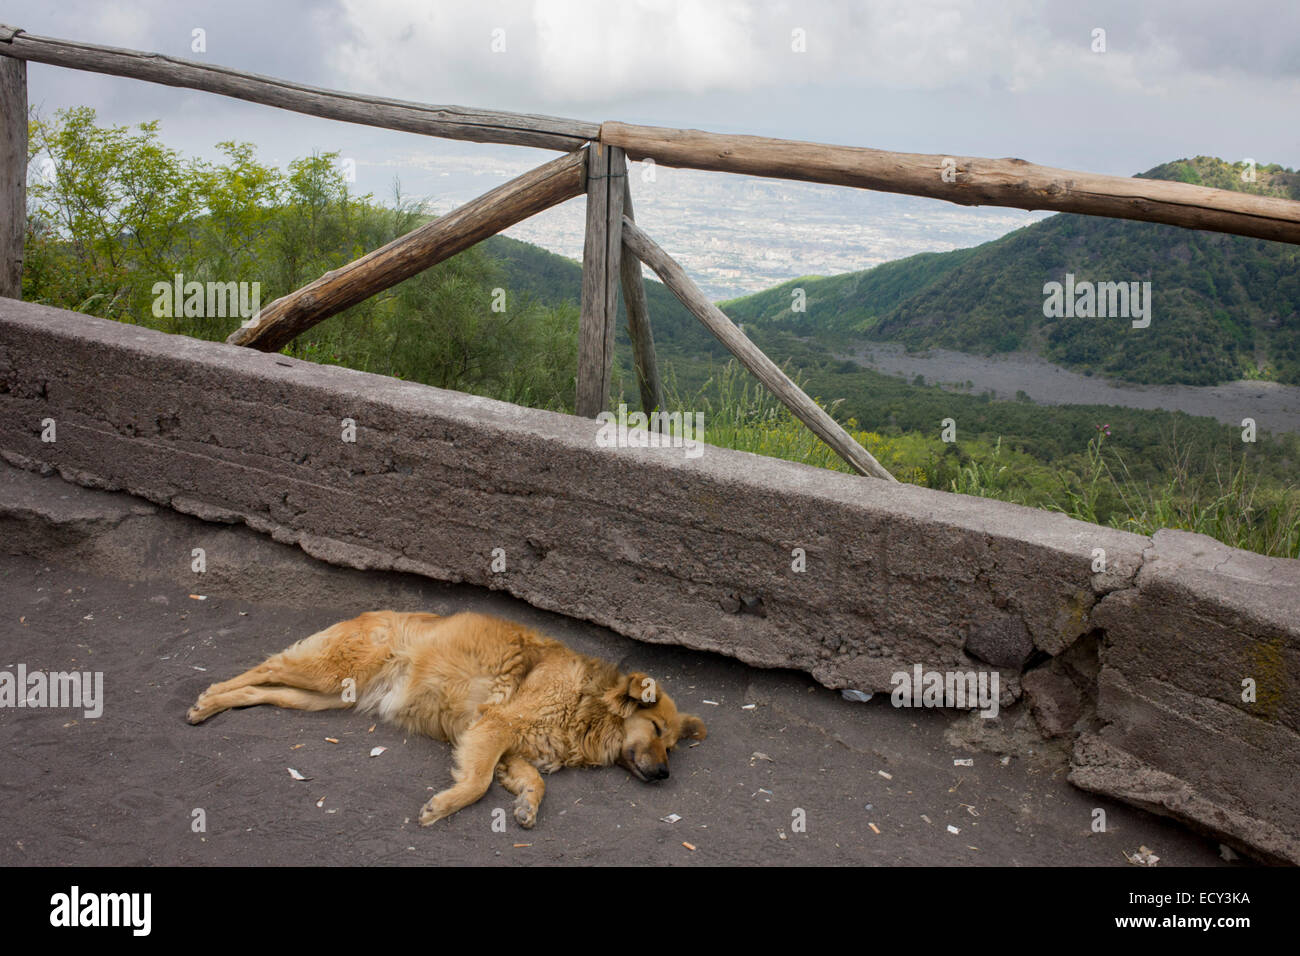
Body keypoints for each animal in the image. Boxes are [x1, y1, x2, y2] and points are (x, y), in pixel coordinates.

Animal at [185, 613, 702, 832]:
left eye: (673, 747)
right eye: (657, 731)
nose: (665, 774)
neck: (585, 705)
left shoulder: (508, 749)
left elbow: (533, 781)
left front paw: (526, 807)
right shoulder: (493, 727)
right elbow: (476, 784)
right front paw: (444, 806)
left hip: (323, 698)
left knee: (264, 690)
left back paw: (215, 705)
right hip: (330, 672)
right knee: (267, 665)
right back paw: (208, 695)